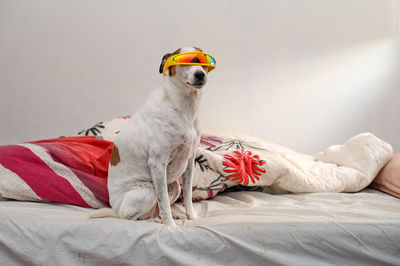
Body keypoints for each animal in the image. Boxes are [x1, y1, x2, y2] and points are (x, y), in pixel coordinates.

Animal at [91, 46, 216, 225]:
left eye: (204, 62)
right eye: (183, 61)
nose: (200, 74)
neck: (182, 107)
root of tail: (115, 209)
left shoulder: (189, 162)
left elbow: (188, 197)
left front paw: (191, 217)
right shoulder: (158, 164)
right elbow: (164, 203)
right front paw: (171, 226)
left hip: (175, 186)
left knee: (156, 209)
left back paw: (164, 217)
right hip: (147, 190)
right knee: (133, 217)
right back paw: (158, 220)